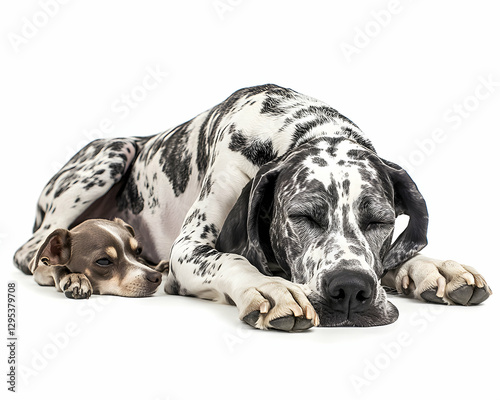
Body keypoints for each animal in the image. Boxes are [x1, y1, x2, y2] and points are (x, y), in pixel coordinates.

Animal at [31, 217, 166, 298]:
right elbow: (56, 267)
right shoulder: (39, 271)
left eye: (138, 251)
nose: (156, 277)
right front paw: (76, 278)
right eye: (104, 261)